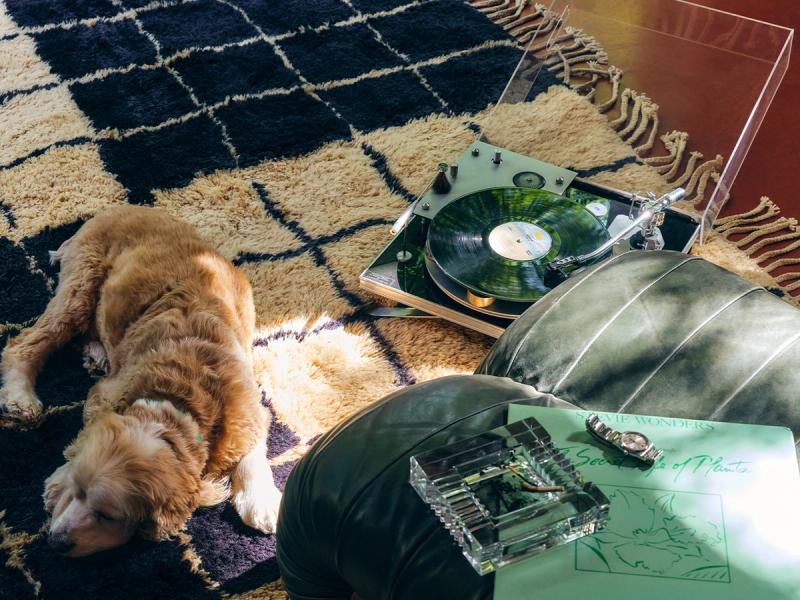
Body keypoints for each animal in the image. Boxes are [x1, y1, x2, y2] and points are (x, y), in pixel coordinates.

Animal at [0, 205, 282, 552]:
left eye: (108, 516)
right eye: (78, 490)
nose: (56, 541)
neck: (178, 401)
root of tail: (113, 209)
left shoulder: (249, 410)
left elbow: (254, 448)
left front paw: (262, 499)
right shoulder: (104, 396)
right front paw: (58, 481)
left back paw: (96, 354)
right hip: (80, 286)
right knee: (26, 342)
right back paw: (19, 396)